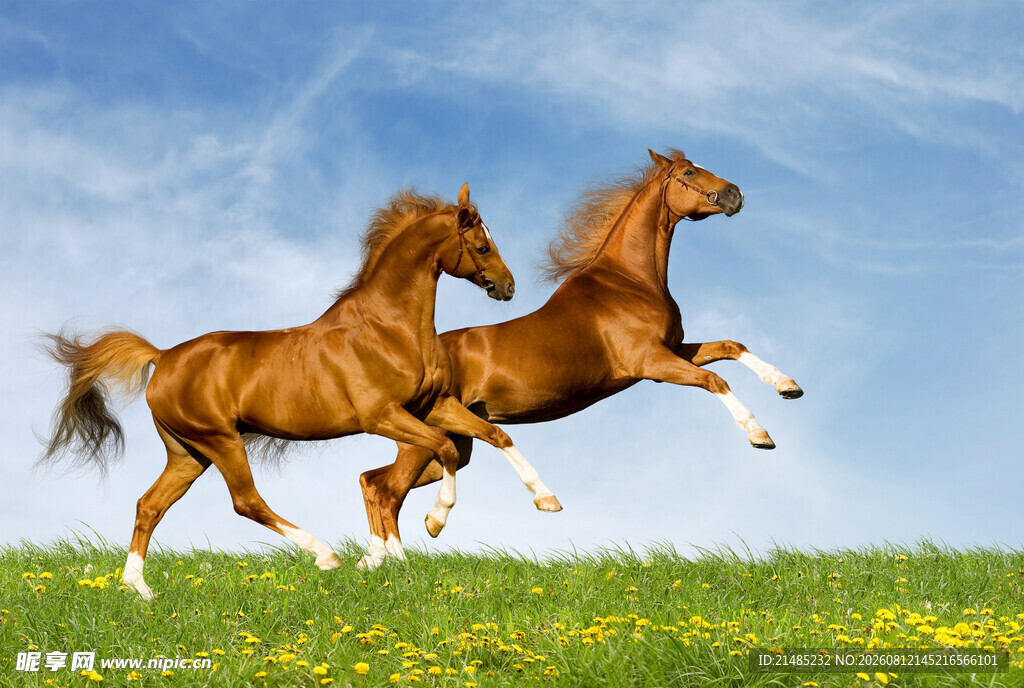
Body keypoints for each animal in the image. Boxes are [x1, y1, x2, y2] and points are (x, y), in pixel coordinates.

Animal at [39, 183, 561, 599]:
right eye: (481, 245)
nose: (508, 287)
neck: (389, 327)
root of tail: (163, 356)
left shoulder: (433, 406)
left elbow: (496, 436)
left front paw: (546, 500)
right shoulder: (382, 416)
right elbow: (443, 451)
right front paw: (431, 525)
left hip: (187, 452)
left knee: (150, 505)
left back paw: (139, 588)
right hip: (220, 440)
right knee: (246, 501)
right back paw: (324, 554)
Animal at [356, 150, 803, 568]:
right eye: (689, 172)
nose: (734, 194)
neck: (630, 281)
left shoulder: (675, 349)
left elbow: (731, 346)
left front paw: (787, 385)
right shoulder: (652, 364)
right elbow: (715, 381)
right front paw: (759, 435)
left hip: (452, 443)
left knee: (373, 481)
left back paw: (375, 559)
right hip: (427, 440)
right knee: (386, 490)